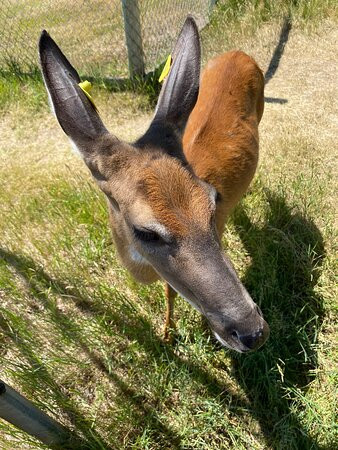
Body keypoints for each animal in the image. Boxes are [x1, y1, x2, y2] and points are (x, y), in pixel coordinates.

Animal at [37, 15, 270, 354]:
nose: (254, 332)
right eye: (145, 231)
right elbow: (169, 290)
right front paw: (167, 332)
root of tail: (238, 53)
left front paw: (170, 332)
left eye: (212, 202)